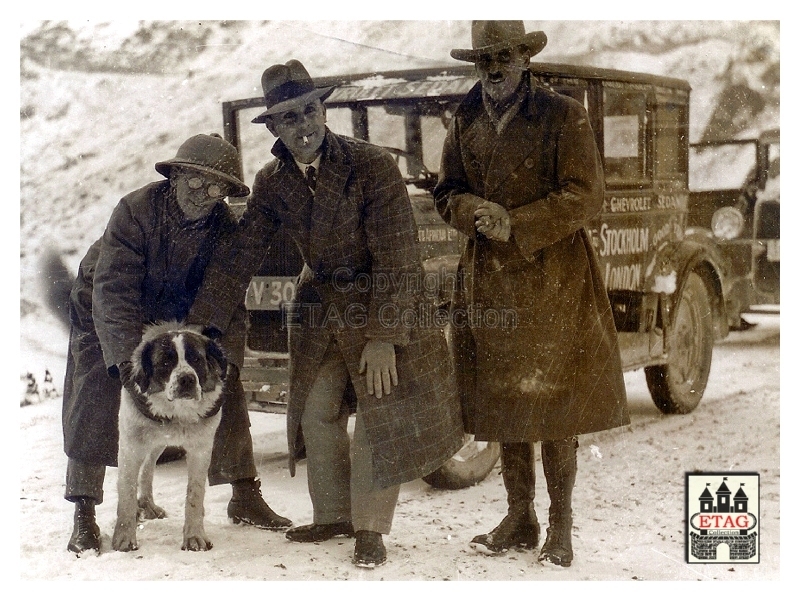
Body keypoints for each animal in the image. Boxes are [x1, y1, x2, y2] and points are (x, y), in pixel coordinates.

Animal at [111, 322, 228, 552]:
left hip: (158, 445)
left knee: (148, 469)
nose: (187, 379)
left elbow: (195, 494)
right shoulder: (131, 446)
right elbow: (126, 490)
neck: (177, 414)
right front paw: (124, 537)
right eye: (166, 361)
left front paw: (194, 536)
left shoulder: (200, 450)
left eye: (196, 359)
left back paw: (148, 504)